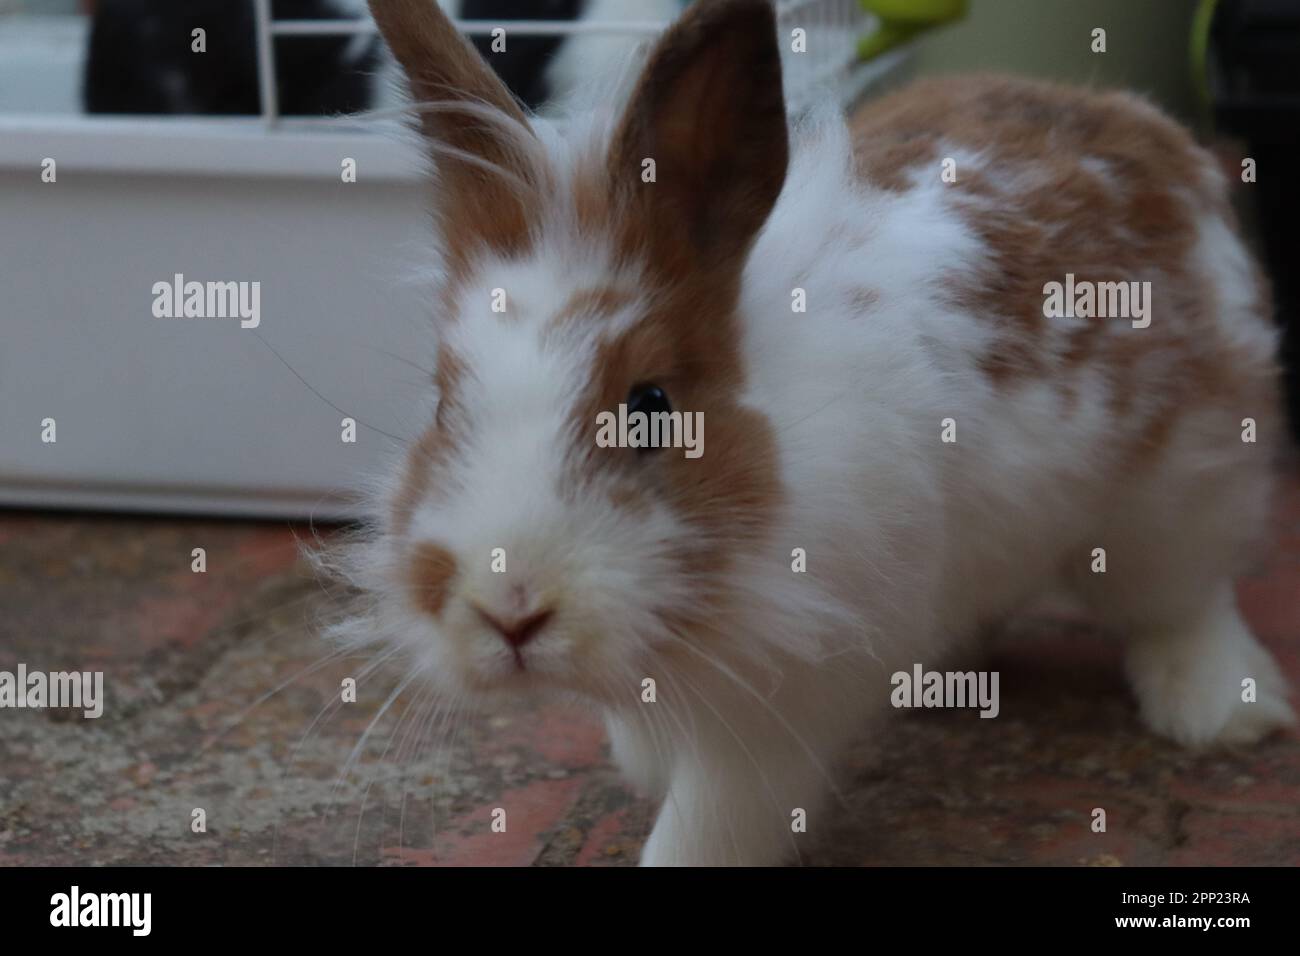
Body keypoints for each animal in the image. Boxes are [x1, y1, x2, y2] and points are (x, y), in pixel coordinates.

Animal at [335, 0, 1297, 865]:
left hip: (1179, 491)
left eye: (650, 403)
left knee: (1187, 600)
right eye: (442, 405)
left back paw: (1223, 714)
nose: (508, 611)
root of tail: (1152, 130)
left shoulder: (776, 713)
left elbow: (713, 822)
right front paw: (642, 764)